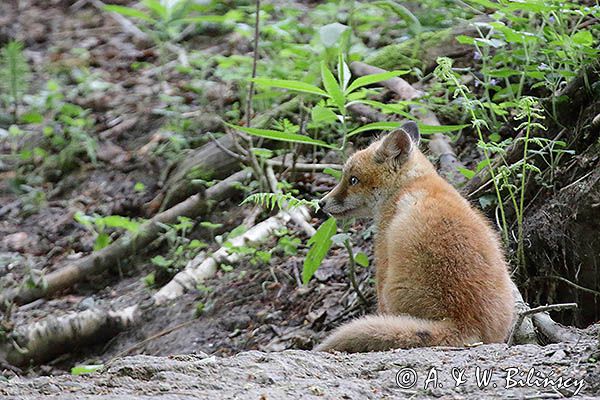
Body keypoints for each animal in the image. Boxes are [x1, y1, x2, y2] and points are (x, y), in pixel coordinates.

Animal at [314, 122, 516, 354]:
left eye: (353, 180)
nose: (321, 203)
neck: (410, 185)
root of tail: (466, 324)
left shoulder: (383, 258)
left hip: (392, 289)